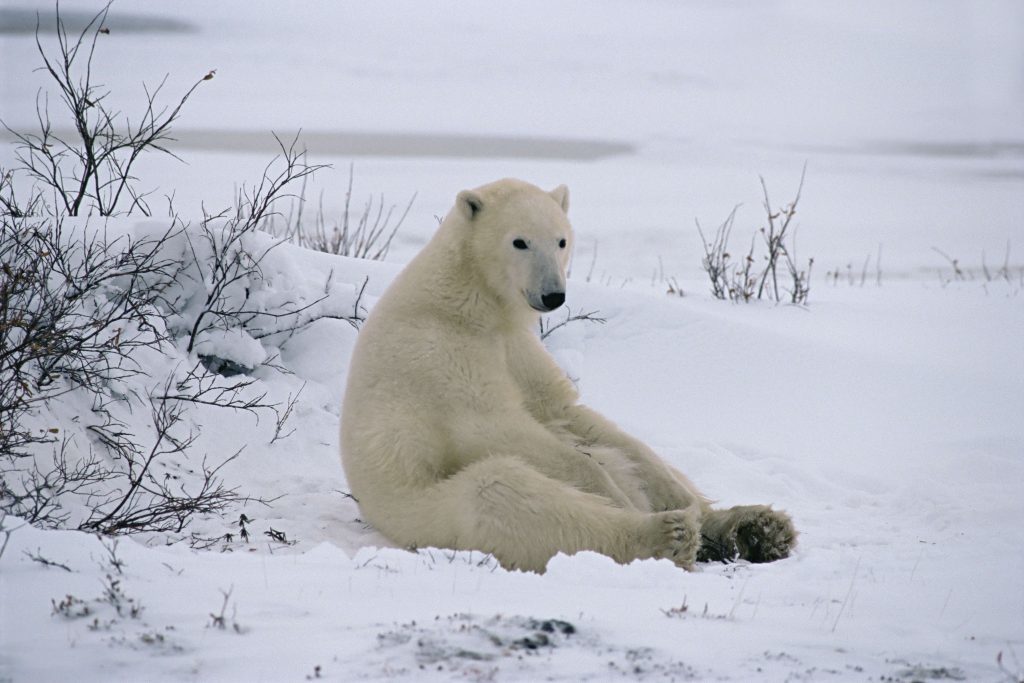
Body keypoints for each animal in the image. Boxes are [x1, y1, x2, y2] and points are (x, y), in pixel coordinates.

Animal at [339, 178, 794, 573]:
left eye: (561, 239)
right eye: (519, 241)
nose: (553, 295)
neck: (468, 298)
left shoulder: (518, 347)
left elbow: (567, 411)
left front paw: (675, 495)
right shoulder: (439, 354)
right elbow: (494, 427)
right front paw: (617, 497)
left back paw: (753, 526)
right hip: (428, 510)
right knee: (502, 495)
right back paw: (669, 533)